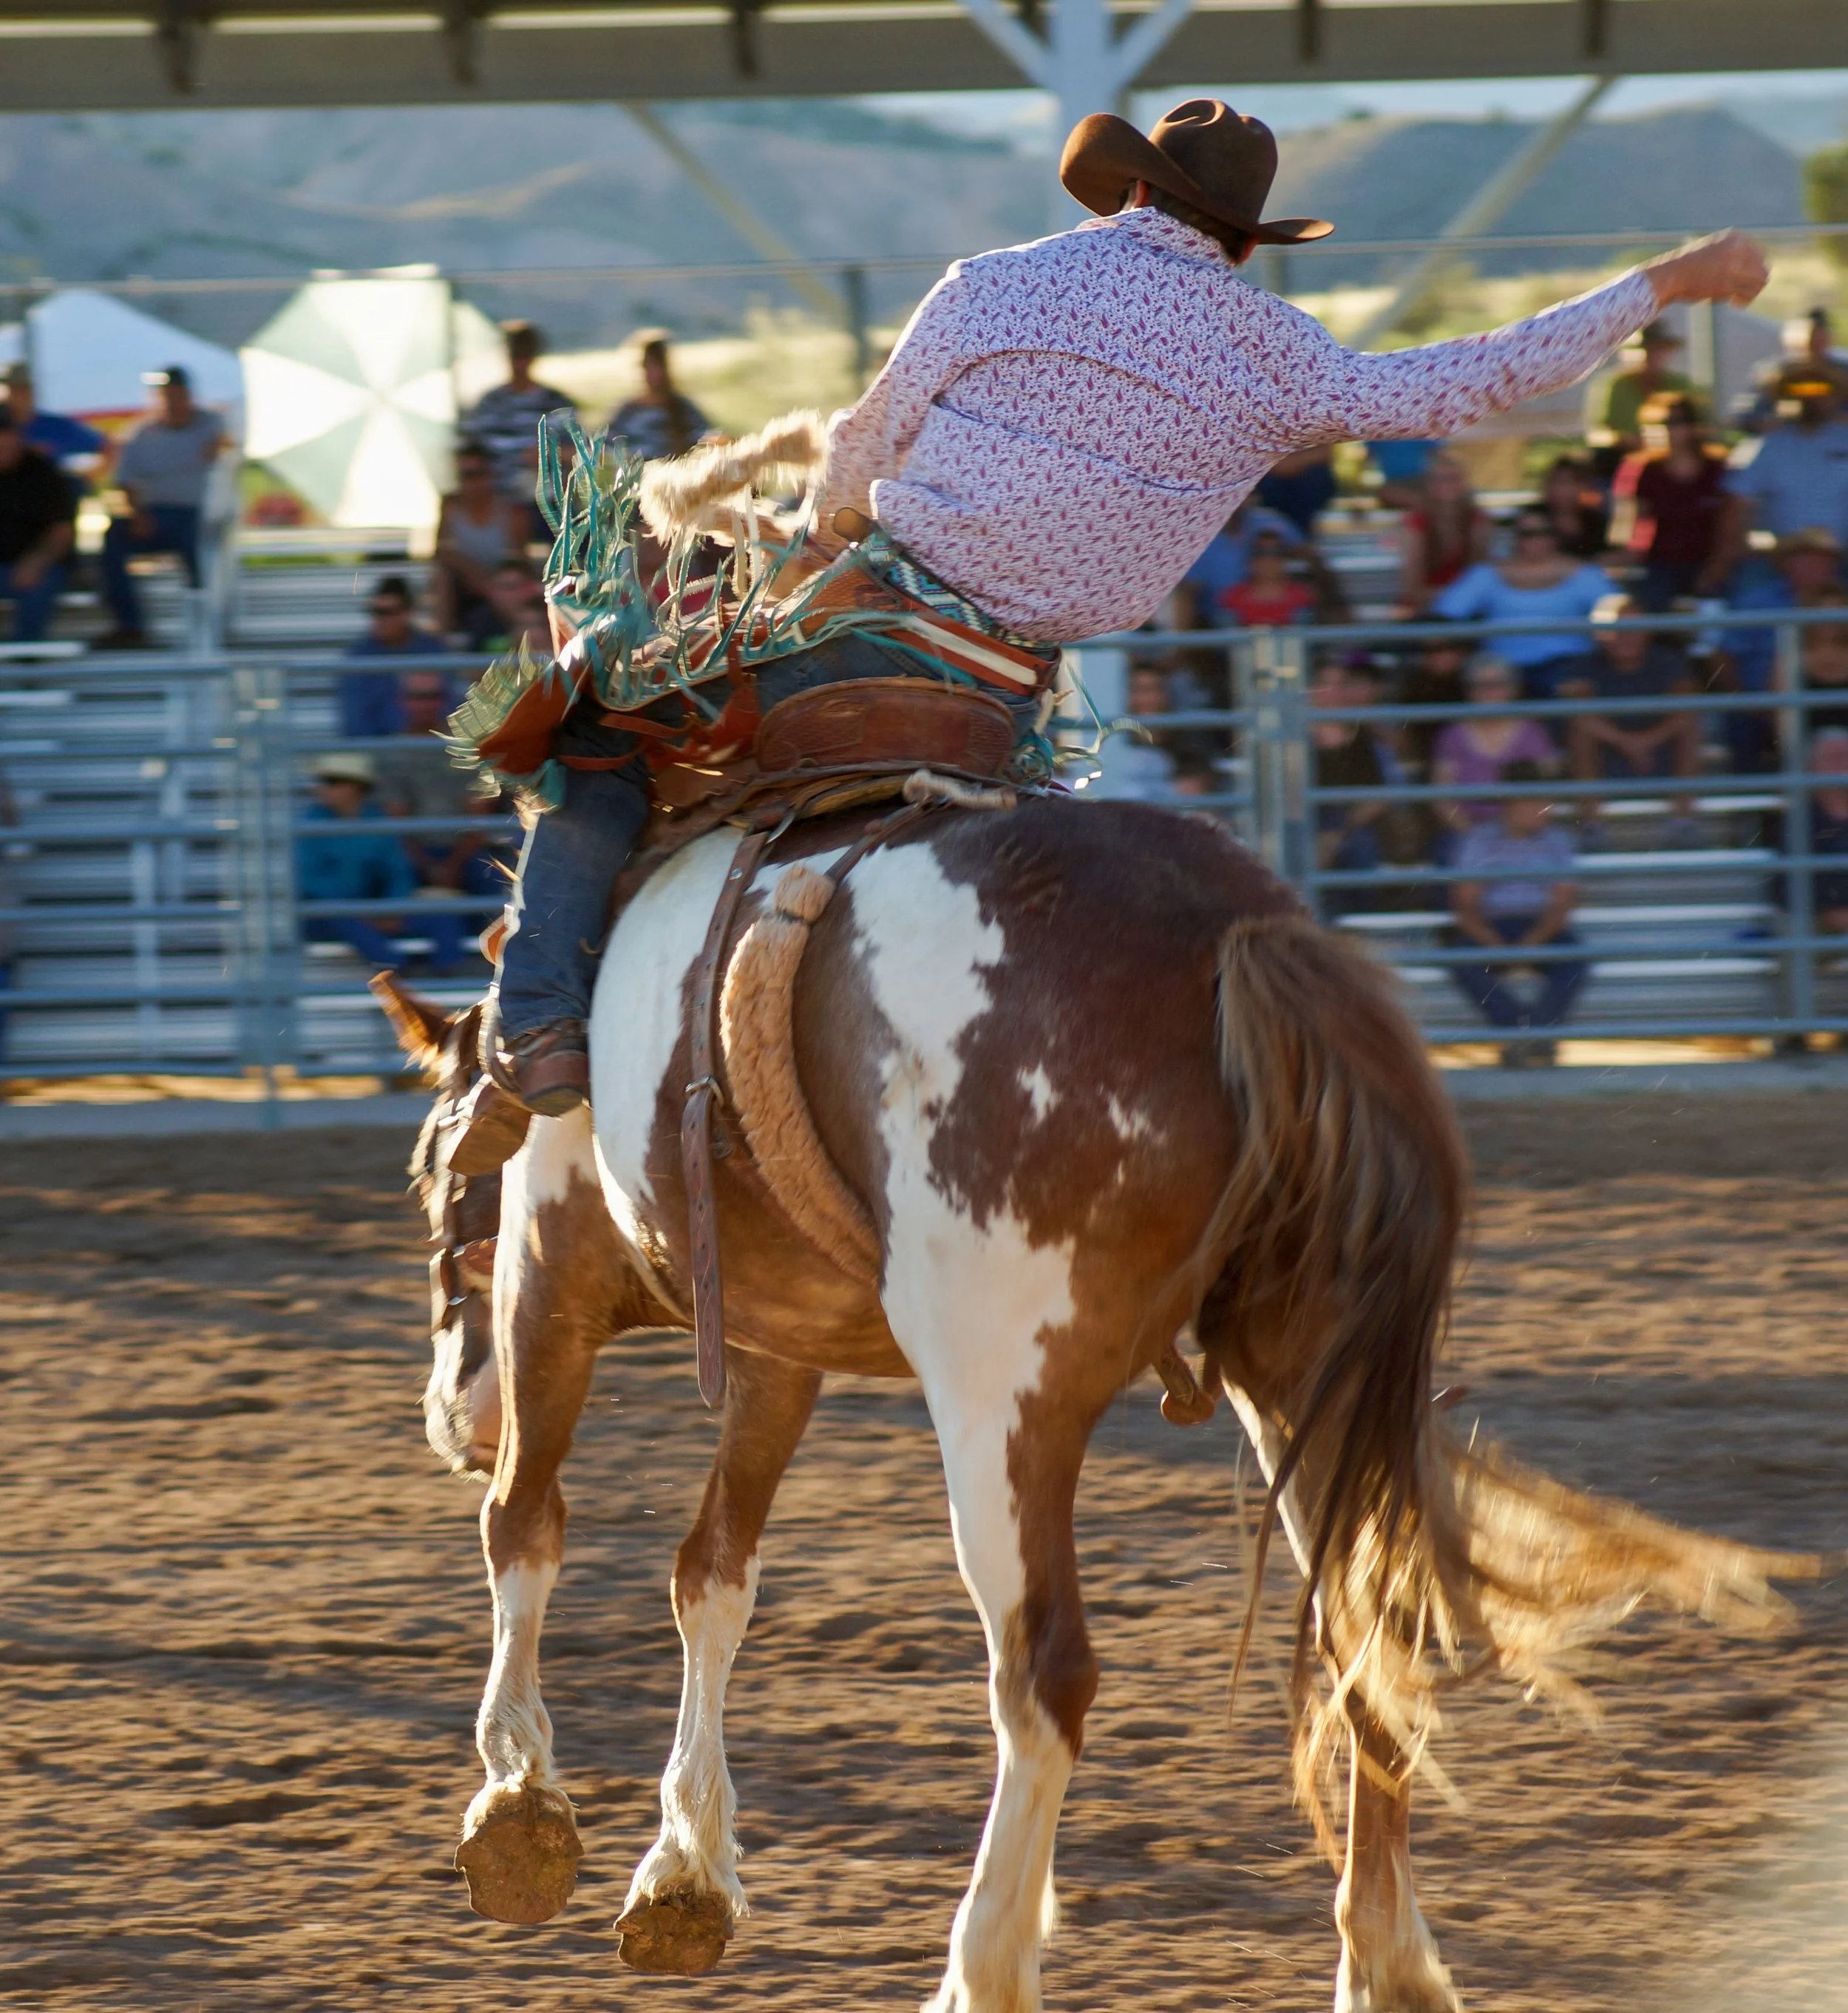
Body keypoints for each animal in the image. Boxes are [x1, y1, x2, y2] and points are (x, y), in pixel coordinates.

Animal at [379, 792, 1803, 2013]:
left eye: (437, 1167)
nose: (455, 1417)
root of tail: (1234, 933)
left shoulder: (548, 1265)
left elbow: (528, 1528)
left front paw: (517, 1805)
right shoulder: (778, 1346)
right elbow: (712, 1575)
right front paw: (683, 1868)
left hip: (1001, 1403)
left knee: (1044, 1674)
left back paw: (984, 1964)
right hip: (1299, 1370)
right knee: (1367, 1632)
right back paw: (1389, 1964)